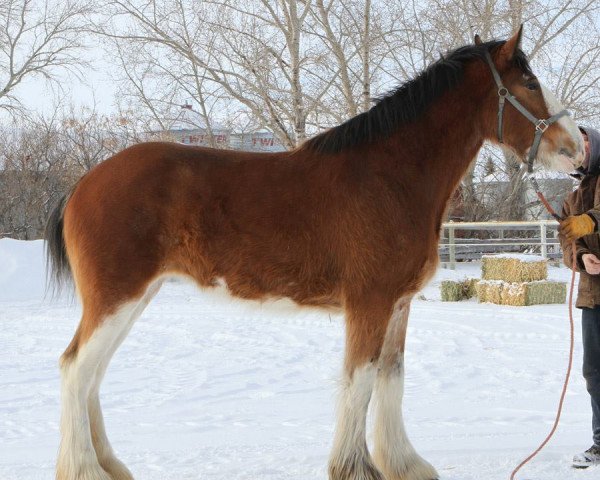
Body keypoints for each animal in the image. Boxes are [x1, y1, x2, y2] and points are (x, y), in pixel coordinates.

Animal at [49, 29, 584, 480]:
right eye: (530, 82)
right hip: (116, 299)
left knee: (92, 376)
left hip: (132, 300)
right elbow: (360, 382)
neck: (389, 177)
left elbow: (391, 379)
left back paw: (110, 466)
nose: (578, 147)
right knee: (76, 370)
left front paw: (404, 464)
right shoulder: (369, 303)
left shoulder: (398, 305)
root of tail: (81, 186)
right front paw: (356, 468)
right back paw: (86, 470)